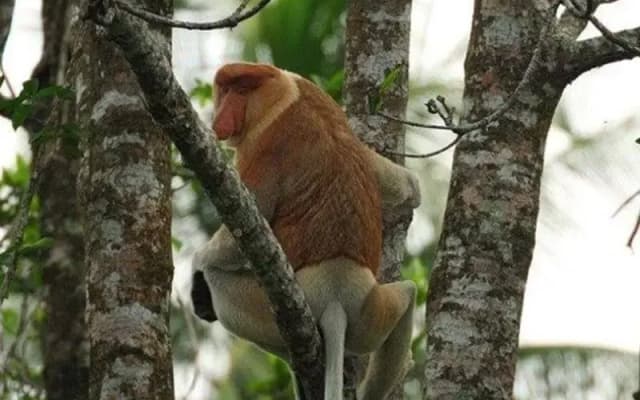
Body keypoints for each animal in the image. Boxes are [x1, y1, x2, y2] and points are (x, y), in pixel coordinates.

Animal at [191, 62, 420, 400]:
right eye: (227, 89)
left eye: (242, 90)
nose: (222, 118)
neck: (283, 93)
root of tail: (336, 292)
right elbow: (408, 186)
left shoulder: (264, 146)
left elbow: (240, 232)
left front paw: (197, 267)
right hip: (371, 311)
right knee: (408, 294)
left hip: (276, 305)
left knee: (219, 283)